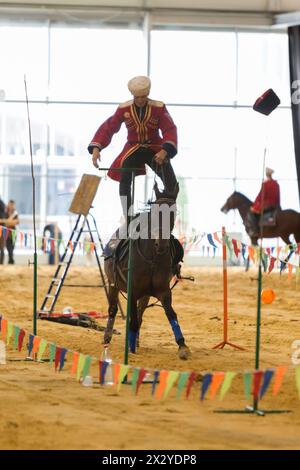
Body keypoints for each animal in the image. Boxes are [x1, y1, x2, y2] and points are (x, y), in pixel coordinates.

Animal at [104, 184, 191, 360]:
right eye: (156, 211)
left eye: (173, 212)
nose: (161, 244)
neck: (152, 259)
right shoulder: (132, 291)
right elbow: (132, 320)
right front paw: (130, 349)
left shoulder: (163, 291)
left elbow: (171, 314)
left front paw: (182, 346)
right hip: (112, 284)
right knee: (113, 309)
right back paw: (108, 337)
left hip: (145, 295)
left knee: (140, 313)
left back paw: (135, 340)